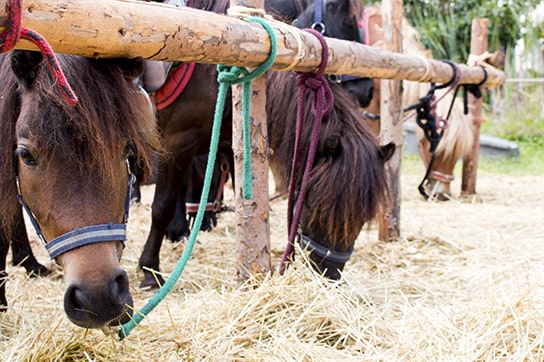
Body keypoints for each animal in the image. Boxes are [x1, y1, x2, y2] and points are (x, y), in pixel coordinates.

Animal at [137, 0, 392, 288]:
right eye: (320, 206)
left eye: (363, 218)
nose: (329, 274)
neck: (212, 71)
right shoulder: (176, 144)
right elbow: (162, 208)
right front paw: (149, 269)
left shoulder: (230, 147)